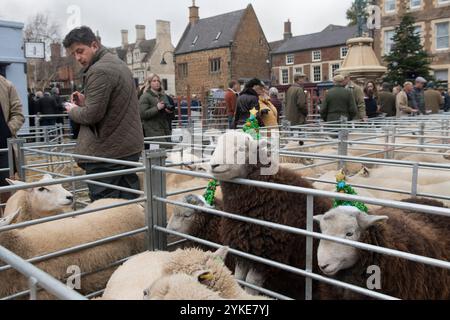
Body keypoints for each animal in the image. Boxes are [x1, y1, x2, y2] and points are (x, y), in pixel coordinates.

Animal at [209, 130, 332, 300]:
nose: (214, 165)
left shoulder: (268, 254)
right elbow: (239, 278)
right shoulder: (243, 247)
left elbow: (251, 283)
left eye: (242, 149)